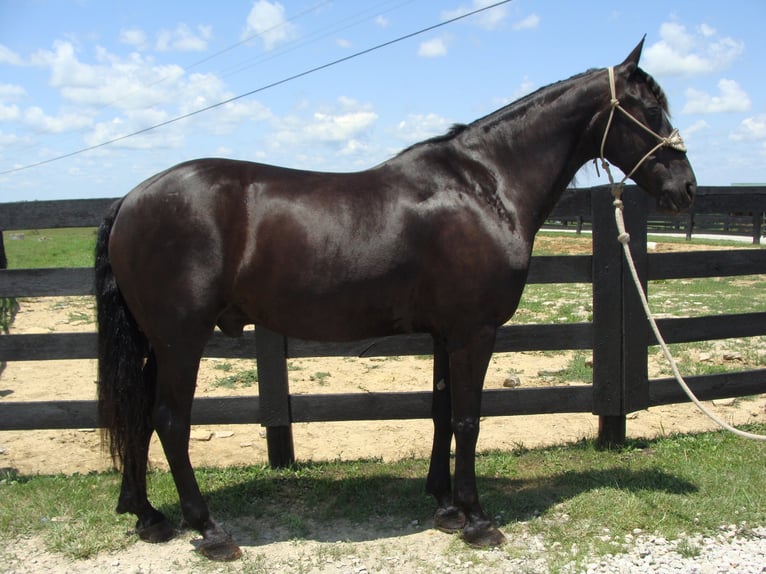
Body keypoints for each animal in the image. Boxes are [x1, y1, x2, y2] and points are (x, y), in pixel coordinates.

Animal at [94, 40, 696, 564]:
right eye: (648, 108)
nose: (687, 188)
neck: (484, 186)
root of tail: (130, 200)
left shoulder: (446, 333)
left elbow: (441, 411)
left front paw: (446, 507)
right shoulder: (476, 331)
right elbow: (469, 419)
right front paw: (478, 520)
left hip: (157, 342)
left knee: (140, 416)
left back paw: (148, 516)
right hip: (181, 340)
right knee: (170, 421)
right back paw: (210, 530)